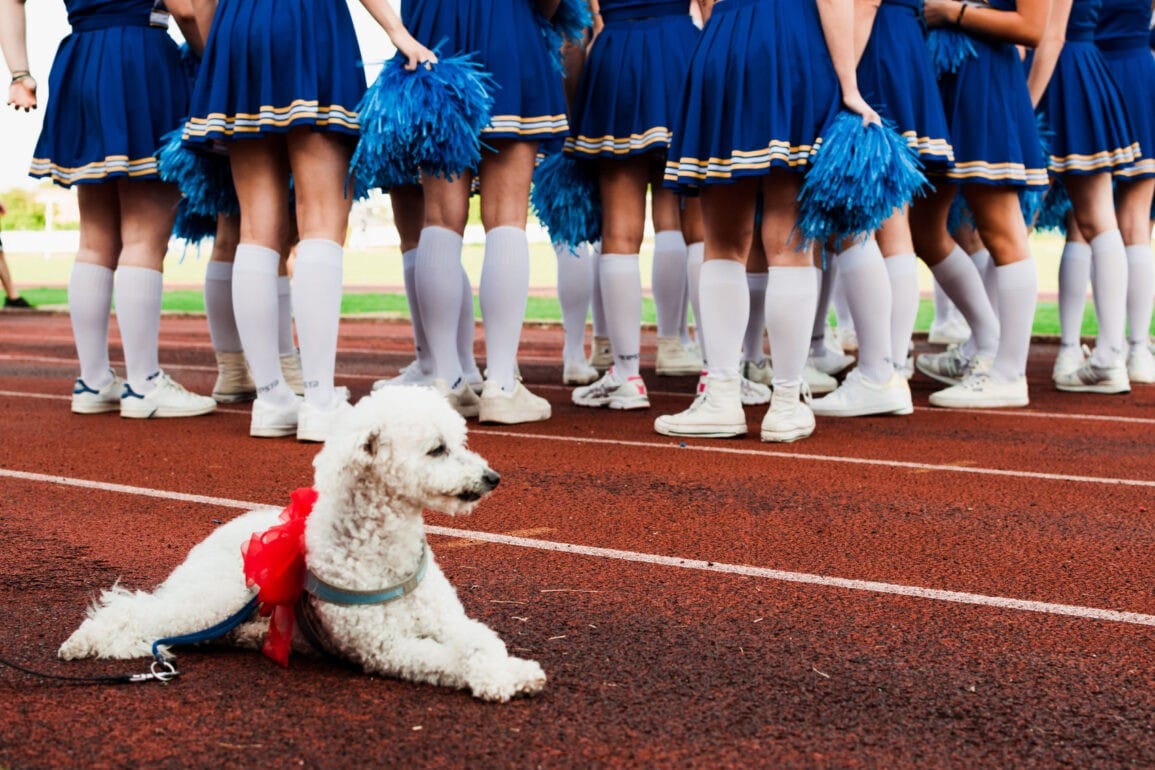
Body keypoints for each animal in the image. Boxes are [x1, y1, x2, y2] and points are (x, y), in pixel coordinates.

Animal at [57, 387, 549, 701]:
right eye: (437, 449)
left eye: (459, 441)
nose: (492, 478)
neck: (382, 553)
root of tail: (222, 528)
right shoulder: (386, 647)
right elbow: (444, 659)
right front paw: (492, 681)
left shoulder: (449, 620)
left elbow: (481, 641)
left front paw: (513, 670)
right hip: (217, 597)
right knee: (137, 612)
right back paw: (87, 641)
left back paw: (258, 636)